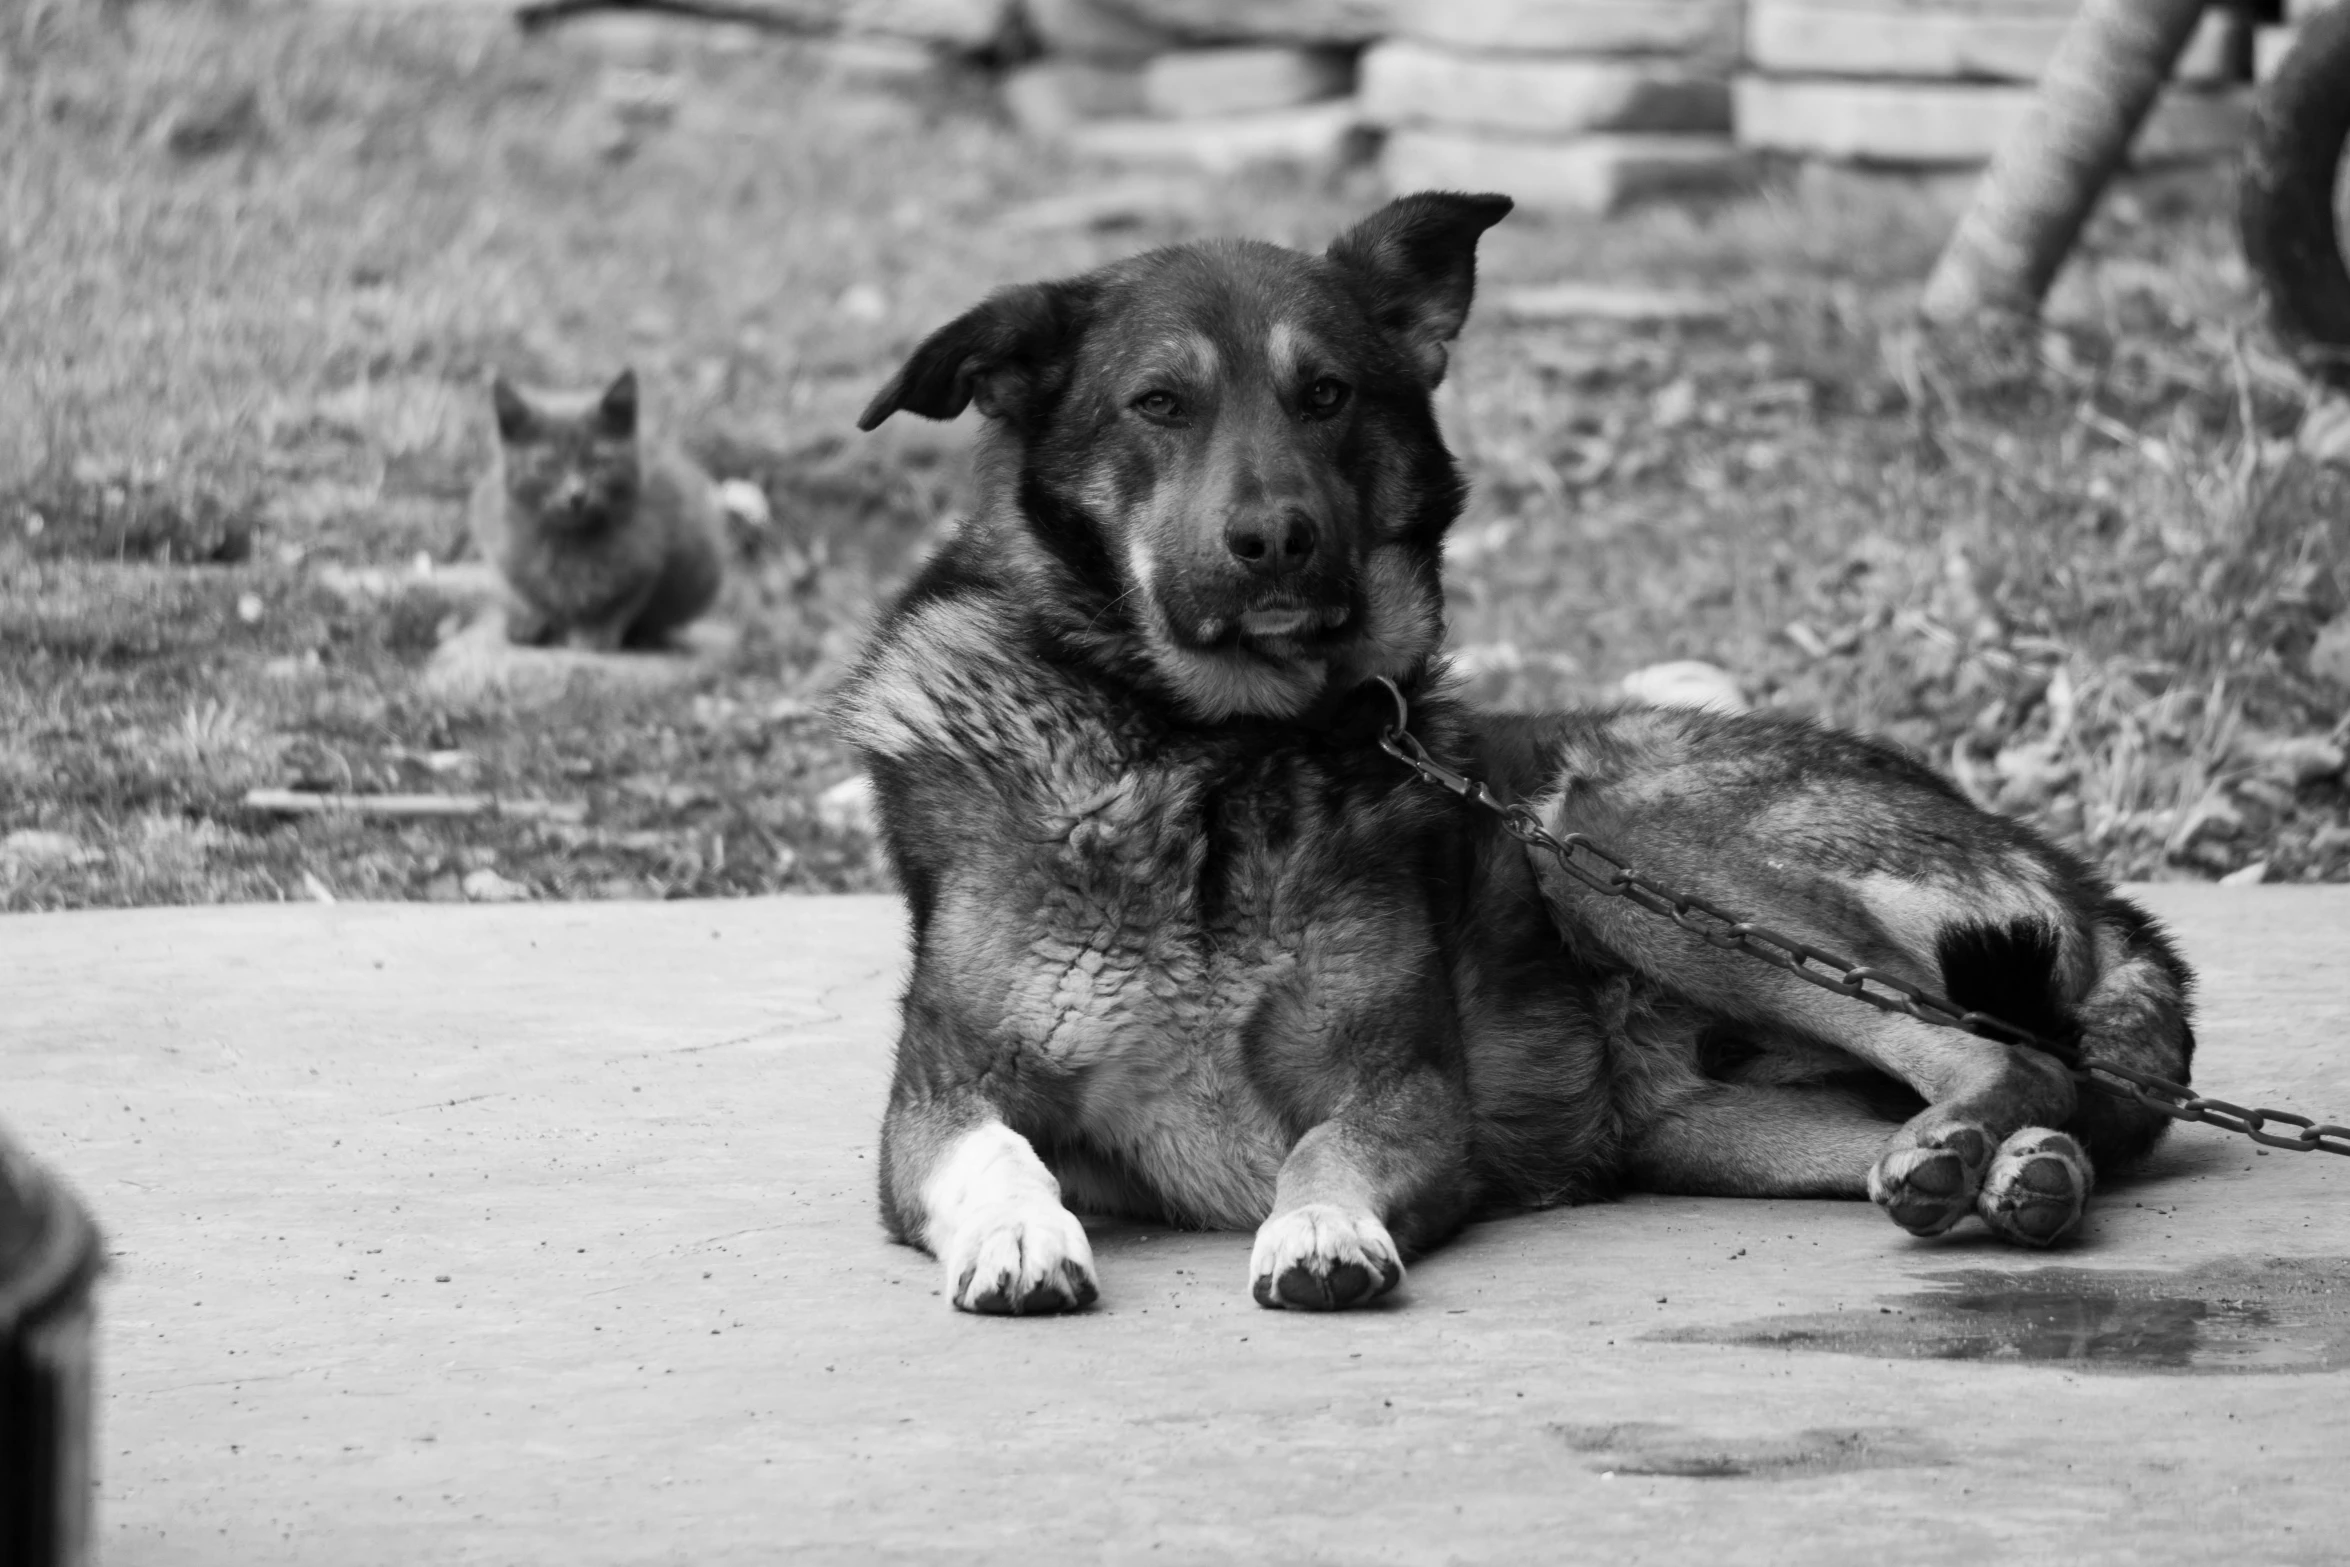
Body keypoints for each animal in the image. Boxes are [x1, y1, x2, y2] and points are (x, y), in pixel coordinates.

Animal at [467, 371, 723, 653]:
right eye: (546, 465)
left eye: (598, 462)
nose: (576, 494)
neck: (570, 543)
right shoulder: (501, 544)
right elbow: (529, 593)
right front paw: (530, 622)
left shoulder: (648, 557)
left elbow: (617, 603)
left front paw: (594, 636)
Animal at [836, 199, 2190, 1325]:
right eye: (1158, 404)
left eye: (1326, 394)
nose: (1275, 540)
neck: (1213, 748)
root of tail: (2092, 892)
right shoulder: (942, 1096)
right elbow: (996, 1155)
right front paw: (1017, 1237)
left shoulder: (1402, 1091)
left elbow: (1321, 1153)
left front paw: (1319, 1227)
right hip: (1704, 1115)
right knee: (2021, 1098)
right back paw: (2016, 1170)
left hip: (1604, 841)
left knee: (2009, 1055)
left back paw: (1980, 1153)